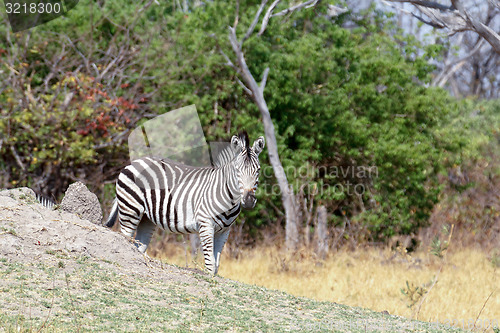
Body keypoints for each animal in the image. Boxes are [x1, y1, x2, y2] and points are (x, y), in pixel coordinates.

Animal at [103, 131, 264, 274]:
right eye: (237, 170)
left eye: (258, 170)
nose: (249, 201)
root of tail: (134, 162)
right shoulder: (205, 225)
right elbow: (210, 264)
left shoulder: (225, 231)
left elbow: (217, 265)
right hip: (130, 211)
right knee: (126, 238)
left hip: (146, 218)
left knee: (139, 246)